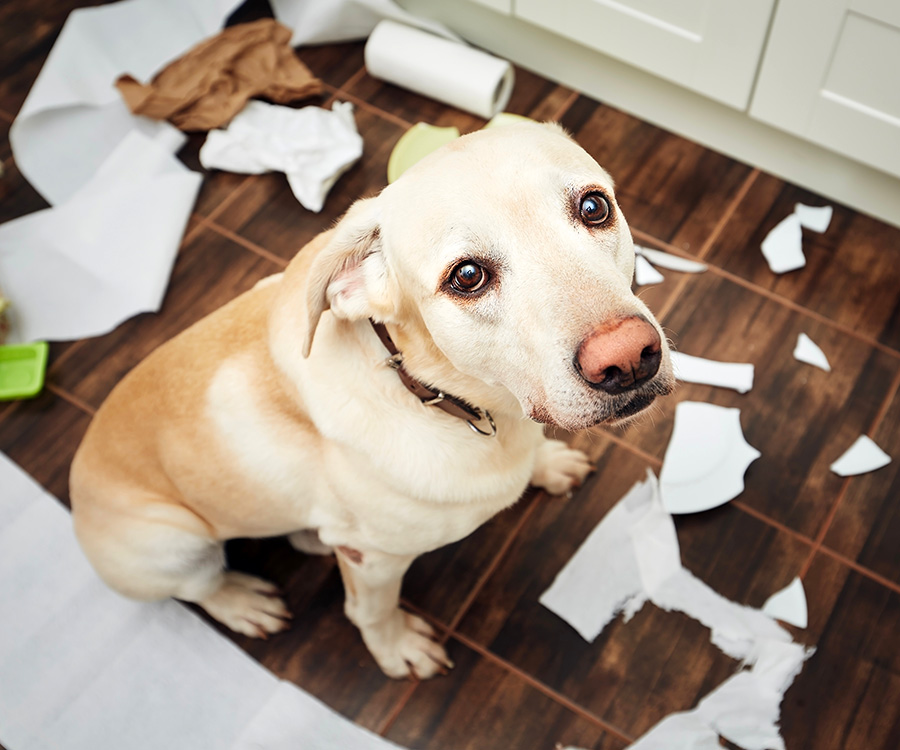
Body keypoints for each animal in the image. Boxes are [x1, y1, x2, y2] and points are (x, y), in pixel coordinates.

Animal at [70, 123, 672, 680]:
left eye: (594, 207)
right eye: (467, 276)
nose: (628, 358)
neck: (436, 393)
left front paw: (548, 464)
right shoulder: (374, 561)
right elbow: (371, 611)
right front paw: (397, 649)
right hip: (172, 542)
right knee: (200, 585)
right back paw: (240, 601)